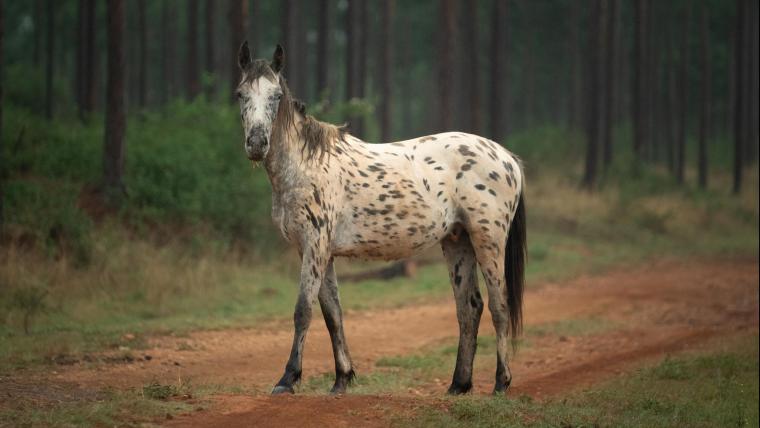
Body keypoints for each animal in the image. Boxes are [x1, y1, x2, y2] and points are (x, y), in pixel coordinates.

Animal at [235, 41, 524, 396]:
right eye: (240, 94)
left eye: (276, 96)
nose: (257, 144)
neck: (305, 164)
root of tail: (506, 157)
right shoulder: (318, 252)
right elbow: (332, 313)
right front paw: (341, 379)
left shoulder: (315, 246)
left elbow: (303, 311)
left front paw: (287, 379)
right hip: (458, 242)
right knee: (469, 308)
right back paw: (459, 384)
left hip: (488, 241)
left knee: (499, 306)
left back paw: (501, 382)